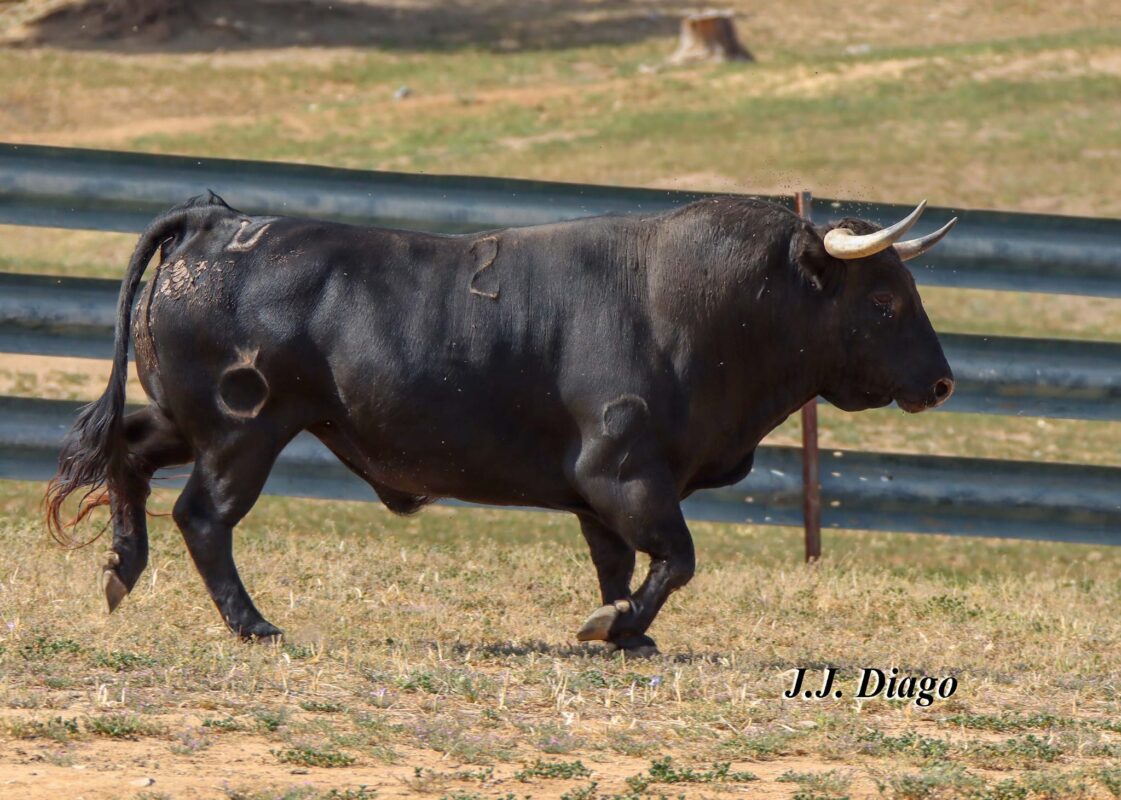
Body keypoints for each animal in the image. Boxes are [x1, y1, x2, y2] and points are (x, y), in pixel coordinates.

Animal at [45, 192, 955, 654]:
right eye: (882, 299)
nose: (941, 380)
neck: (697, 306)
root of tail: (216, 222)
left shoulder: (602, 493)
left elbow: (618, 561)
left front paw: (627, 634)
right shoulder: (624, 472)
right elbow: (675, 558)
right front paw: (616, 626)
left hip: (188, 420)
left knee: (129, 455)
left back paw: (122, 567)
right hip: (244, 433)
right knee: (204, 516)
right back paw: (253, 624)